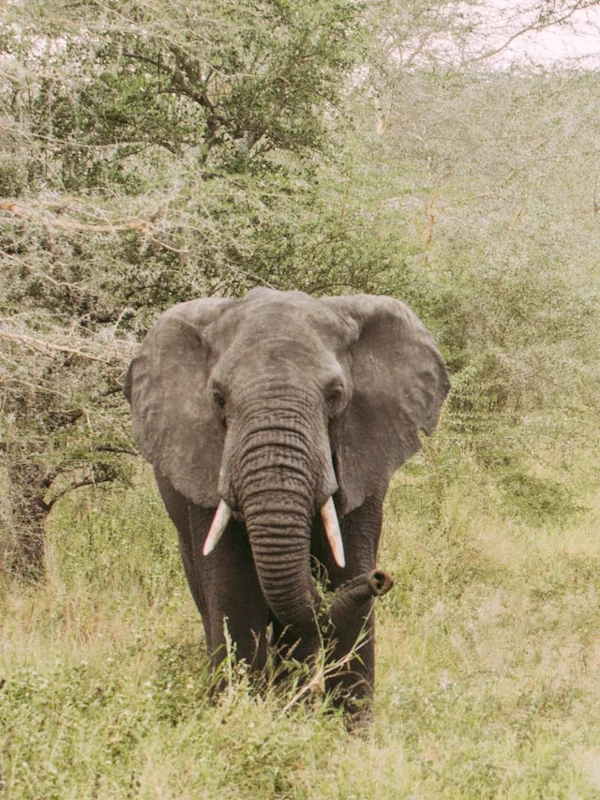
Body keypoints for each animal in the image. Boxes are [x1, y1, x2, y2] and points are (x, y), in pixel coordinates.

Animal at [124, 288, 449, 717]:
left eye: (336, 396)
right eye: (218, 398)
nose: (382, 578)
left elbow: (346, 573)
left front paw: (345, 728)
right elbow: (234, 593)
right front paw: (238, 715)